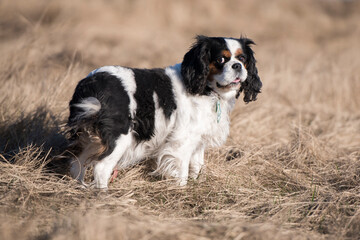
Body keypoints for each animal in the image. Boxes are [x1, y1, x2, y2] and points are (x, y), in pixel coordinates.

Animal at [65, 36, 262, 189]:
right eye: (221, 59)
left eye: (242, 58)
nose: (237, 66)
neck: (207, 89)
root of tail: (89, 84)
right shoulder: (182, 141)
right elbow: (182, 171)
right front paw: (182, 191)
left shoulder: (198, 140)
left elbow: (197, 165)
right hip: (119, 138)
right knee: (101, 168)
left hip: (92, 139)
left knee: (76, 164)